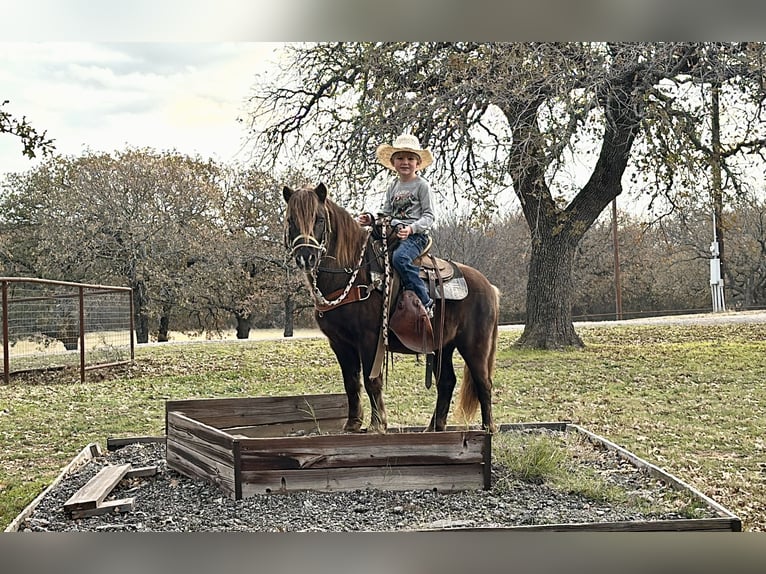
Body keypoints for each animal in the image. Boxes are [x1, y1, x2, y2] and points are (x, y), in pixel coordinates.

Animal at [284, 182, 500, 434]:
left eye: (319, 219)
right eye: (290, 220)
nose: (305, 257)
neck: (354, 274)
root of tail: (489, 287)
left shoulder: (369, 339)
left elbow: (371, 380)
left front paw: (377, 424)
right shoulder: (339, 343)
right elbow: (351, 383)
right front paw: (353, 424)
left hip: (474, 345)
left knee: (483, 382)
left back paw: (488, 429)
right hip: (443, 346)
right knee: (447, 382)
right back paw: (434, 428)